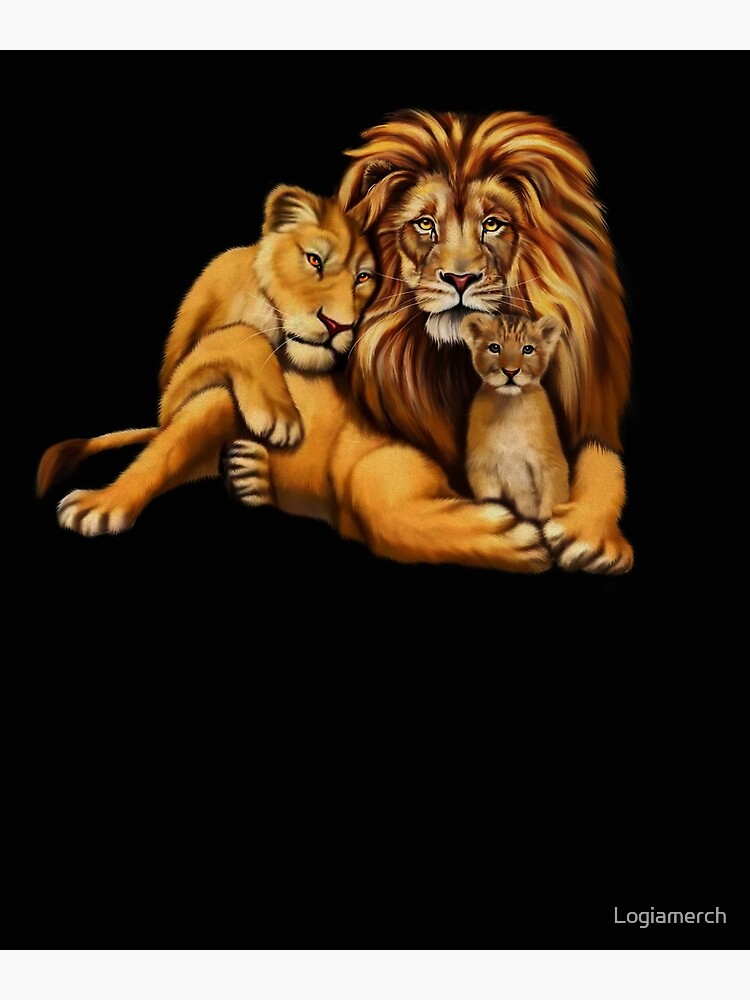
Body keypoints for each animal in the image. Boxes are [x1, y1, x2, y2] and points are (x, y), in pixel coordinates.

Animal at [337, 109, 633, 574]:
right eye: (425, 223)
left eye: (492, 224)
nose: (460, 279)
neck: (453, 366)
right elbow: (369, 485)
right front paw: (508, 536)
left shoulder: (585, 416)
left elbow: (604, 460)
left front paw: (590, 536)